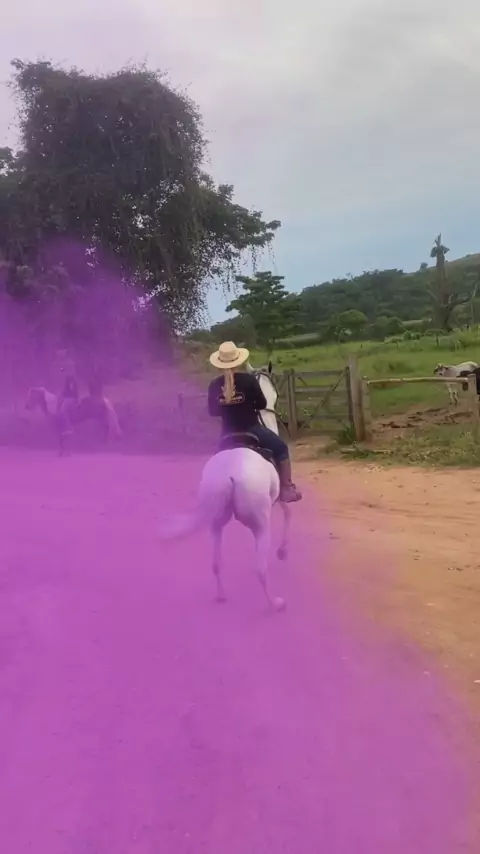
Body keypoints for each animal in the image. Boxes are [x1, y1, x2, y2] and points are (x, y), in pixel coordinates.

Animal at [159, 360, 291, 612]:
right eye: (275, 392)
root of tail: (230, 474)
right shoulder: (281, 496)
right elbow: (288, 513)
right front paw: (282, 552)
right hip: (261, 524)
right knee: (260, 569)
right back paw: (275, 604)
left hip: (216, 523)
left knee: (216, 563)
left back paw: (221, 596)